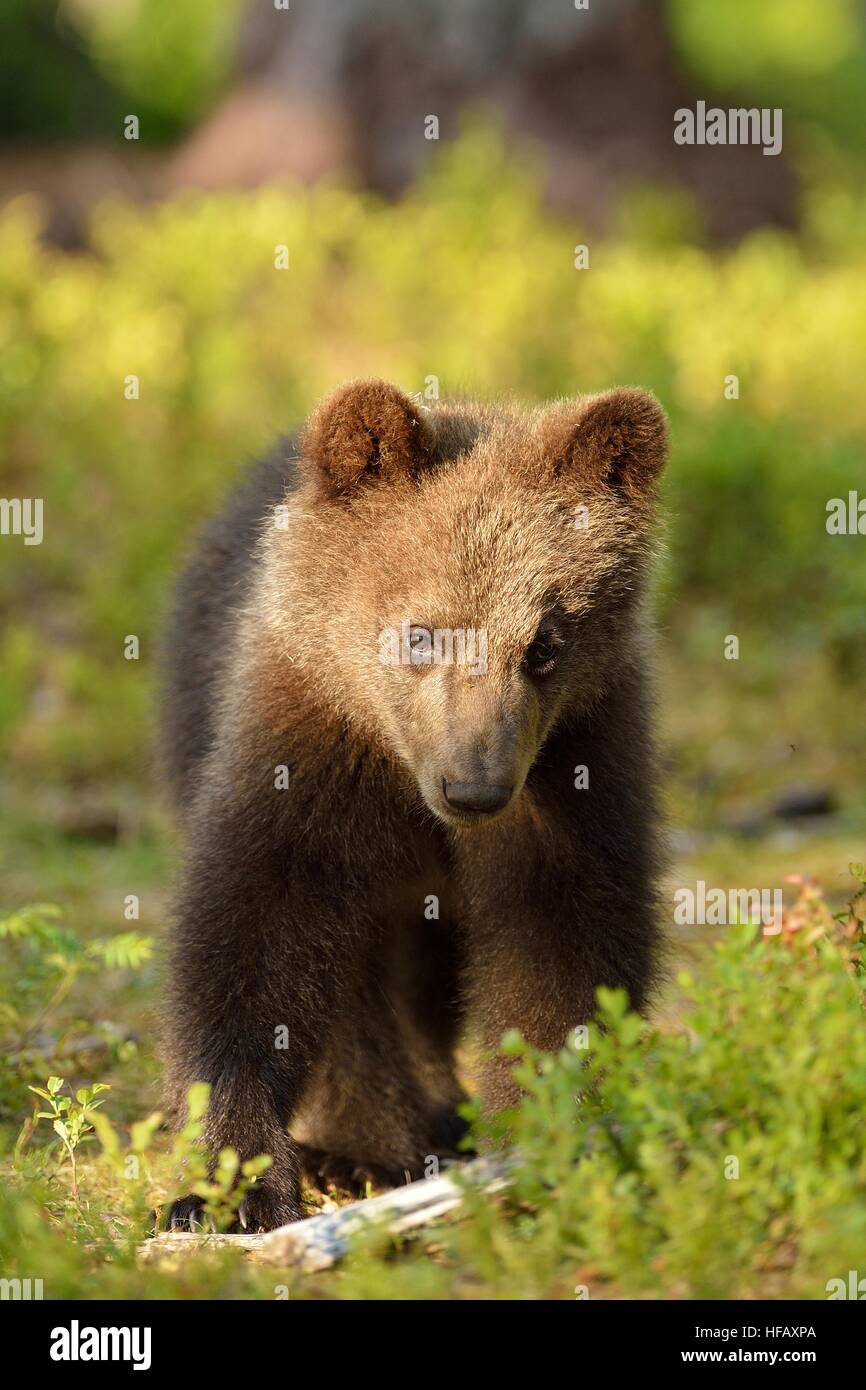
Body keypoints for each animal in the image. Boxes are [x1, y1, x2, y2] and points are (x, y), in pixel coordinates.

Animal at [160, 379, 668, 1231]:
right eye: (421, 634)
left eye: (545, 643)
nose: (475, 786)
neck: (404, 777)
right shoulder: (307, 754)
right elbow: (255, 937)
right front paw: (232, 1184)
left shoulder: (575, 769)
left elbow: (563, 947)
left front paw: (545, 1136)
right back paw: (369, 1145)